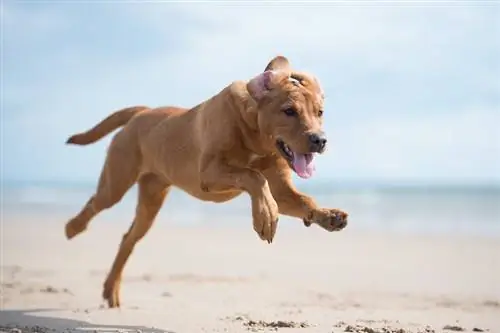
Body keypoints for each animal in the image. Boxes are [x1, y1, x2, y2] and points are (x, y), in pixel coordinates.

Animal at [64, 55, 350, 308]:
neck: (256, 135)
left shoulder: (280, 190)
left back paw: (110, 290)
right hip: (116, 182)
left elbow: (301, 199)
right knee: (96, 203)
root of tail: (143, 112)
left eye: (320, 112)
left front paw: (327, 215)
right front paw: (265, 216)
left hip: (150, 202)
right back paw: (73, 228)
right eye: (289, 111)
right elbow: (254, 176)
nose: (320, 140)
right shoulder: (210, 172)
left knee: (128, 239)